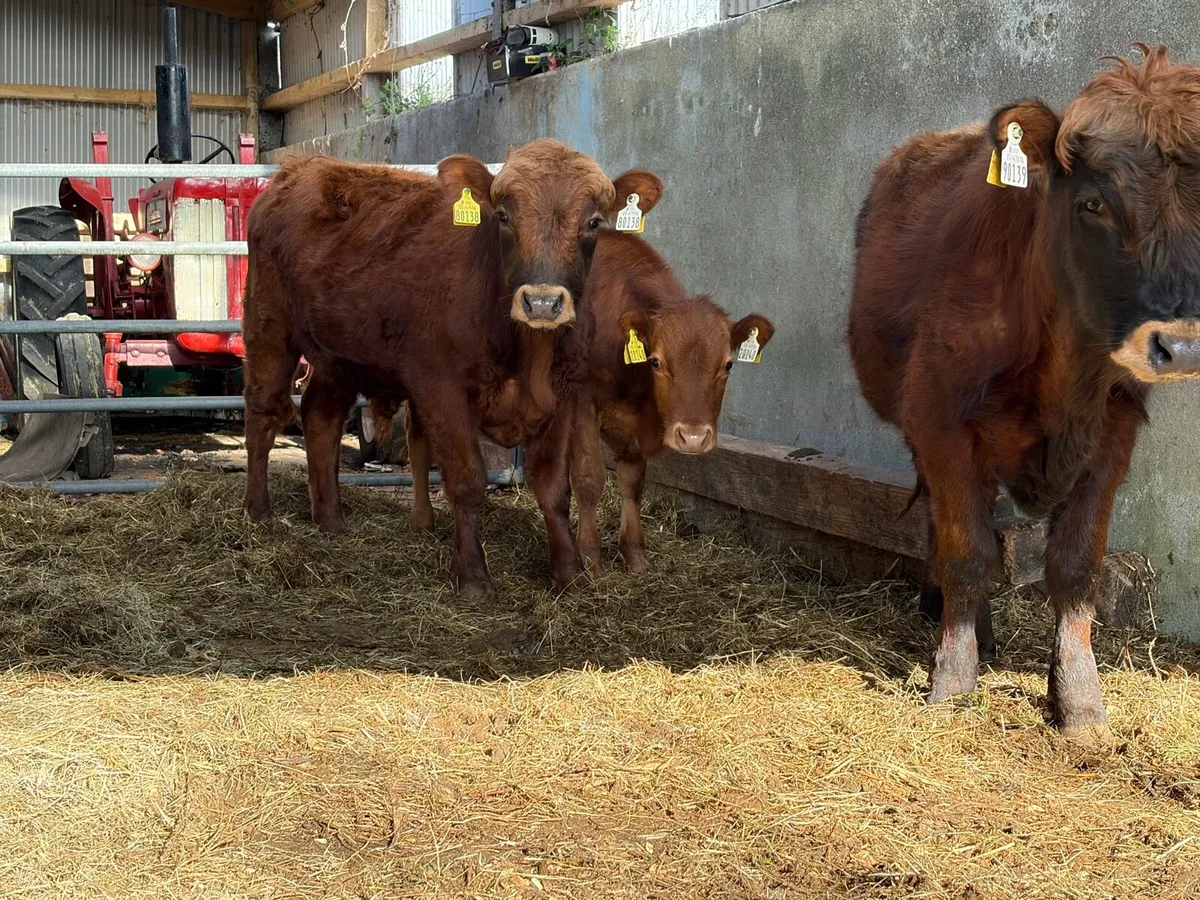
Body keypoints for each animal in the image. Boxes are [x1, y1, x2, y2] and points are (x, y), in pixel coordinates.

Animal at [242, 140, 664, 597]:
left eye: (593, 222)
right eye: (503, 216)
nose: (542, 302)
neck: (529, 355)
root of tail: (299, 167)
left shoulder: (565, 396)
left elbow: (554, 488)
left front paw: (569, 572)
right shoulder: (440, 390)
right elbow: (466, 480)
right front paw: (473, 575)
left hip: (340, 357)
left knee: (321, 416)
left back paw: (331, 518)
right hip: (268, 326)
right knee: (263, 413)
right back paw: (258, 511)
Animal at [848, 44, 1200, 743]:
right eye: (1092, 204)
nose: (1181, 344)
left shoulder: (1114, 434)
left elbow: (1076, 567)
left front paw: (1080, 700)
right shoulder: (941, 421)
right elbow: (967, 551)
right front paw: (953, 679)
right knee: (942, 522)